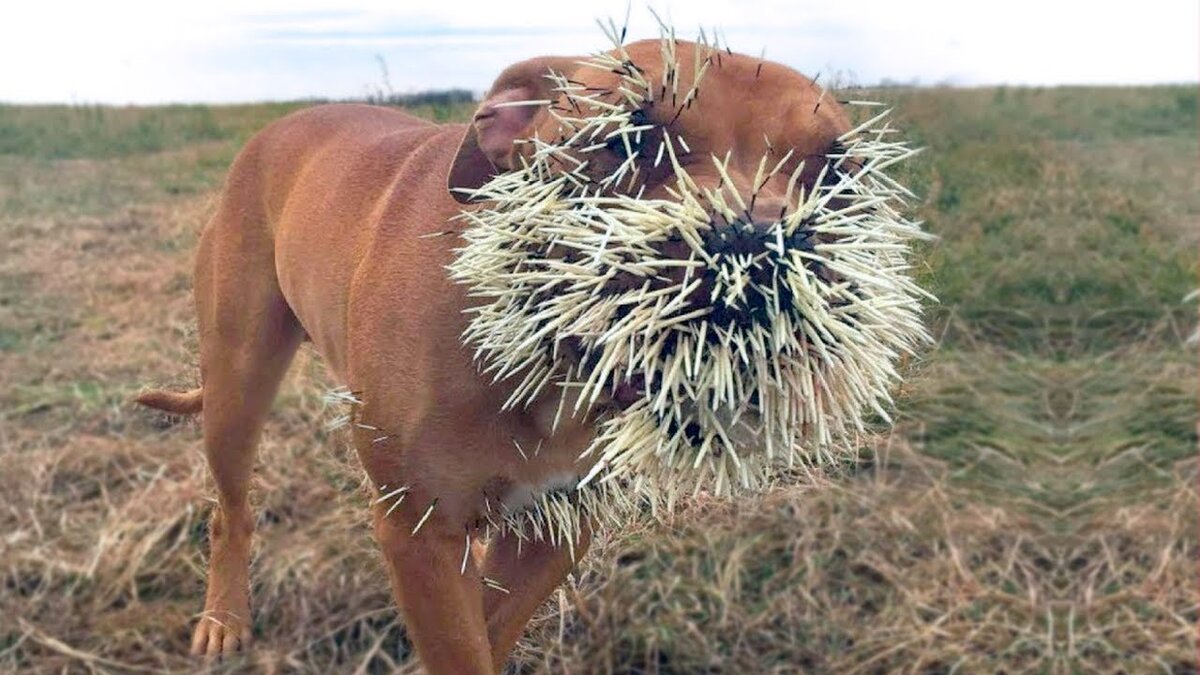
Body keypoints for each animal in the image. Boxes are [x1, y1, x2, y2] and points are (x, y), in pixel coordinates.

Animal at [138, 39, 854, 667]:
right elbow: (460, 646)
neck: (547, 362)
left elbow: (487, 627)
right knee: (230, 511)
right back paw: (224, 619)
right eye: (628, 141)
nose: (760, 245)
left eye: (837, 174)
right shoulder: (419, 529)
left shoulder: (558, 526)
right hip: (236, 383)